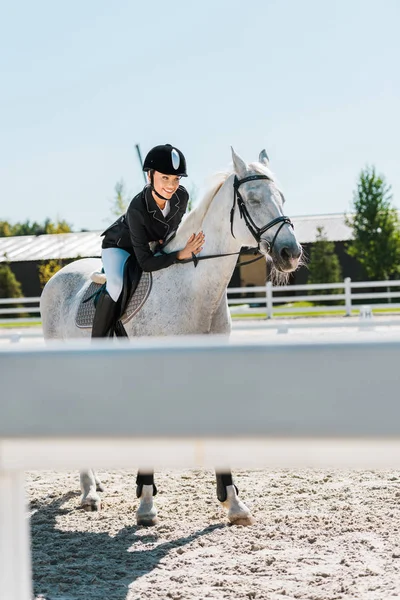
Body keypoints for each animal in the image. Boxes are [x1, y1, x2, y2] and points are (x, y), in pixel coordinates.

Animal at [40, 150, 302, 524]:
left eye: (282, 197)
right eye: (252, 199)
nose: (290, 253)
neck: (192, 288)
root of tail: (59, 274)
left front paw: (233, 503)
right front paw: (146, 503)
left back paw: (96, 485)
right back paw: (89, 492)